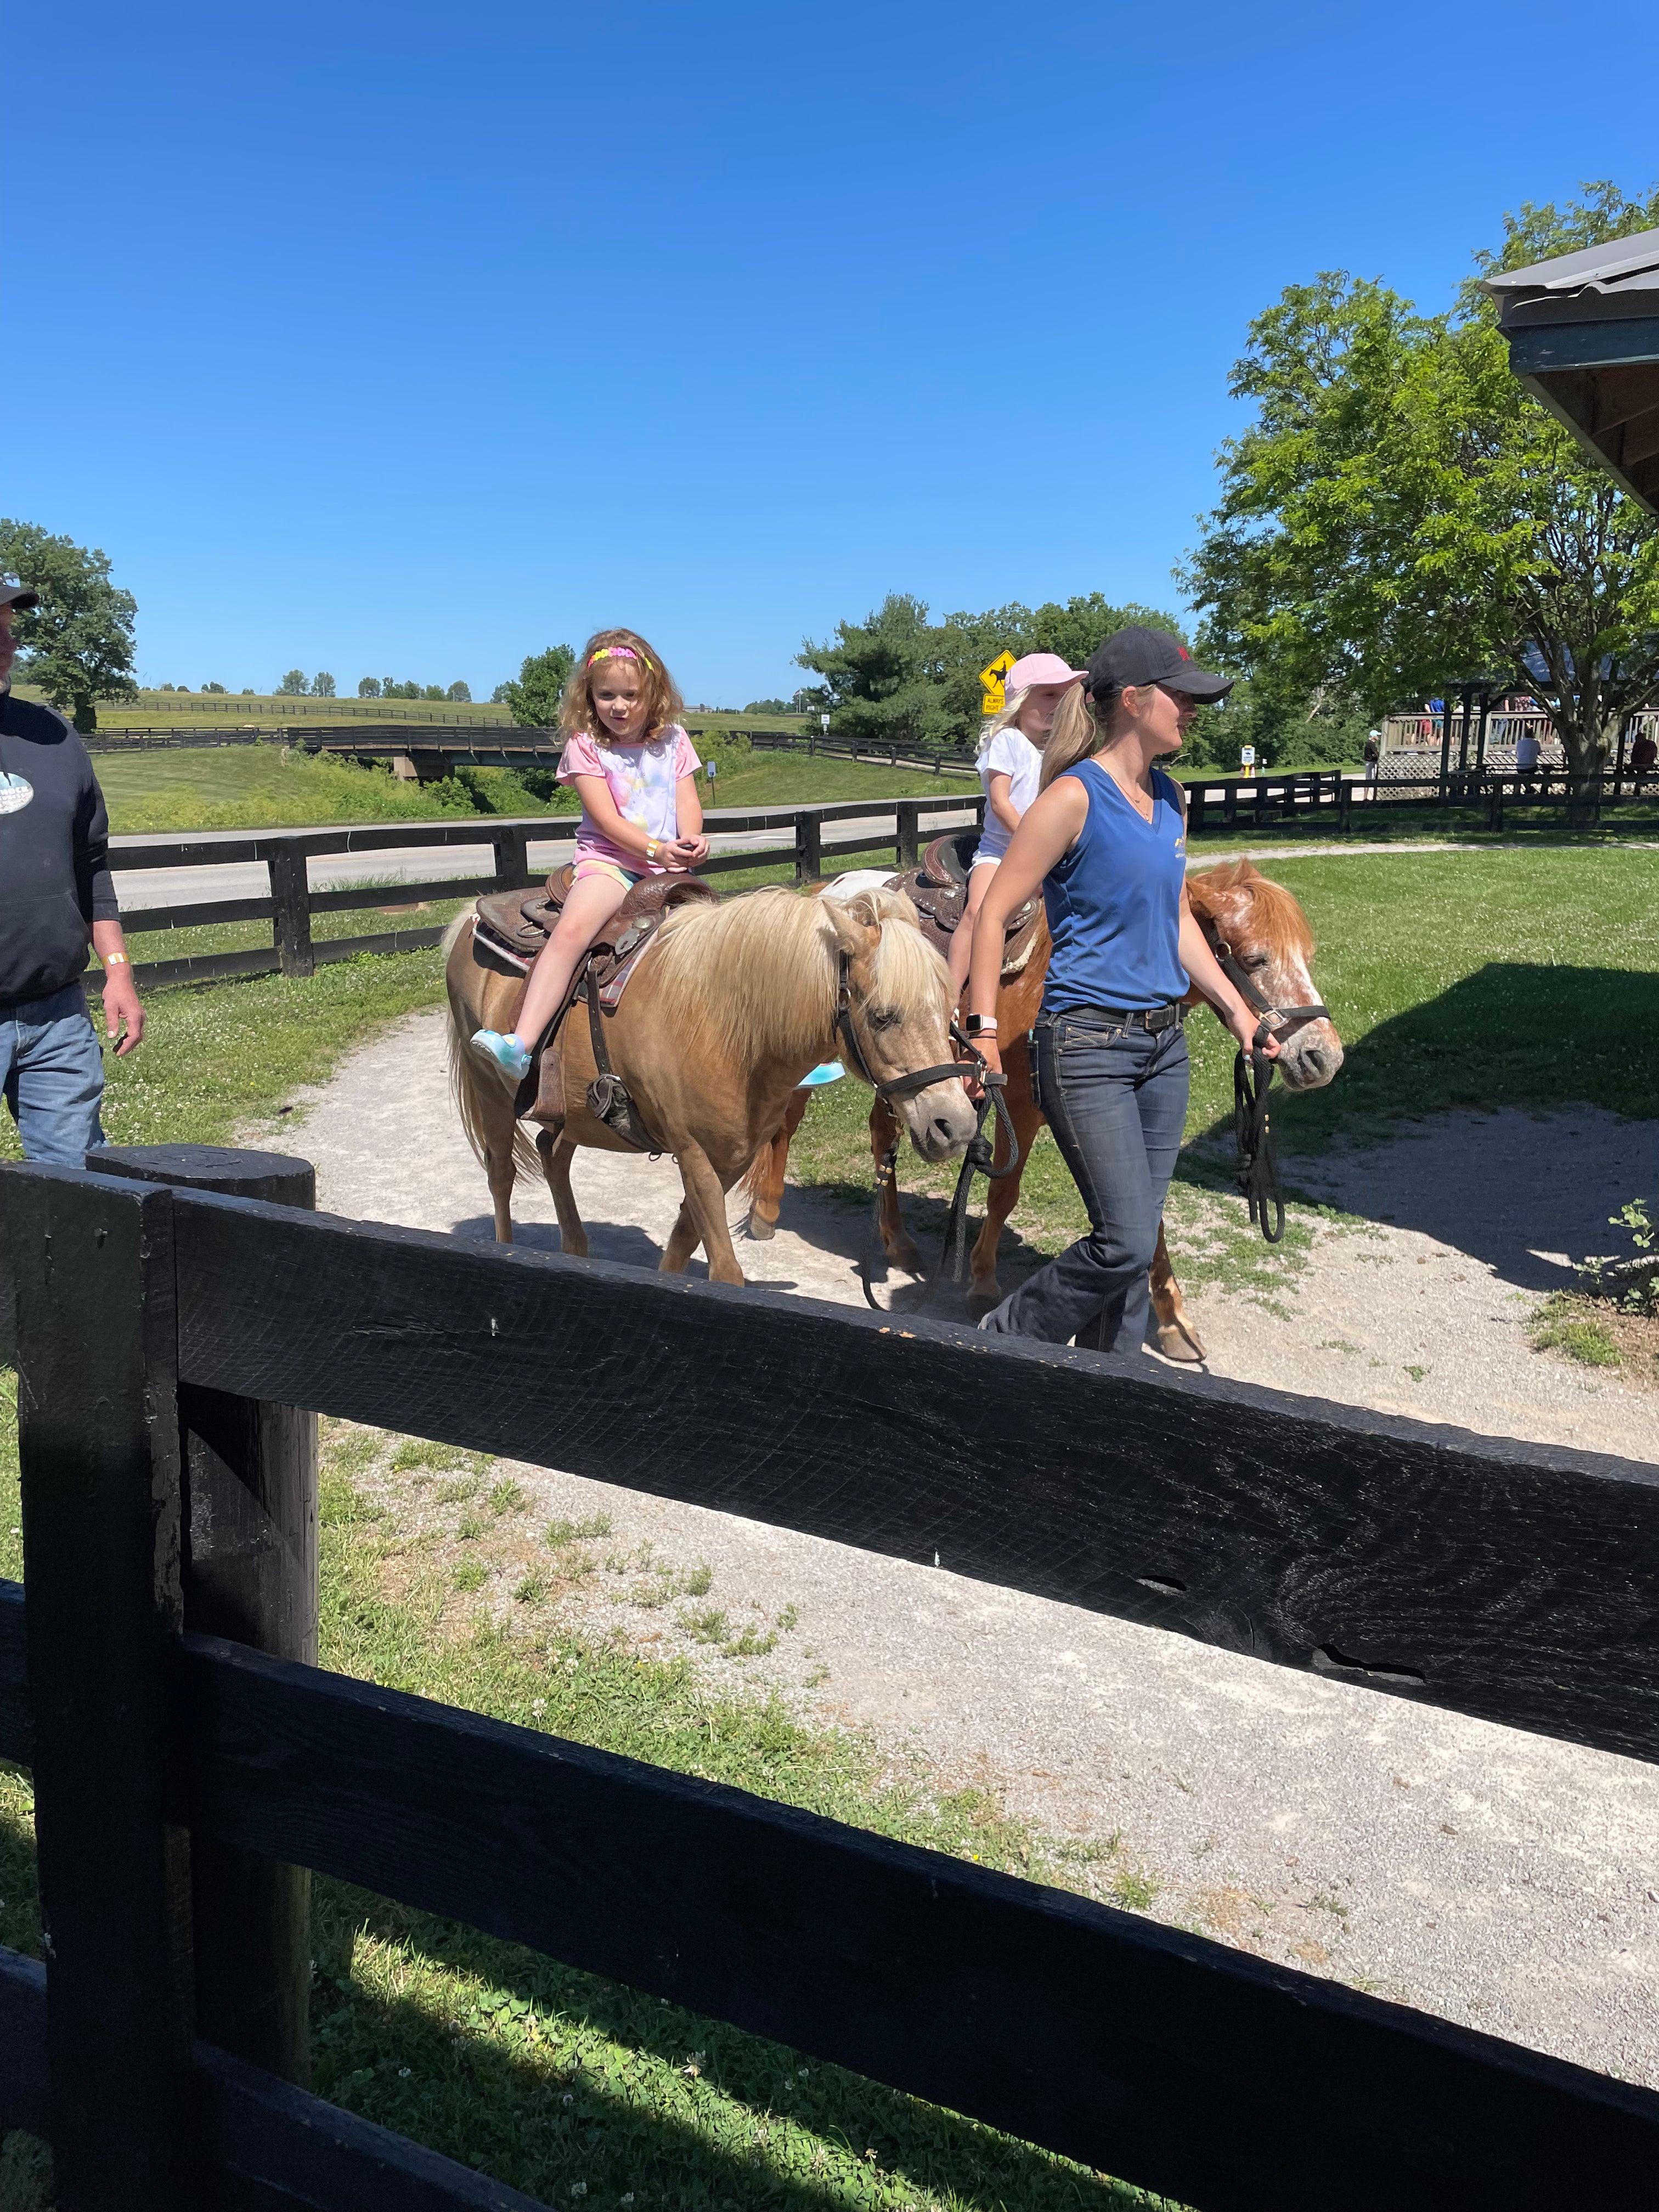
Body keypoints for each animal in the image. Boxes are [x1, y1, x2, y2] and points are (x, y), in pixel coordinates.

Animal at [449, 884, 982, 1291]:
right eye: (883, 1016)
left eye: (950, 1008)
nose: (955, 1124)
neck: (722, 1023)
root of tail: (468, 916)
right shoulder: (695, 1156)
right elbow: (724, 1270)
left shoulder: (730, 1161)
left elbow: (682, 1247)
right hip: (491, 1094)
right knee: (501, 1175)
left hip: (571, 1114)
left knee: (552, 1153)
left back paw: (575, 1250)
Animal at [747, 854, 1345, 1353]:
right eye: (1255, 958)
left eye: (1309, 955)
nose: (1324, 1056)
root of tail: (826, 891)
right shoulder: (1019, 1103)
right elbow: (1005, 1190)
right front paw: (983, 1280)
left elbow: (1145, 1215)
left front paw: (1174, 1320)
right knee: (785, 1123)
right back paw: (765, 1213)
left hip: (902, 1081)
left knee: (881, 1137)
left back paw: (896, 1244)